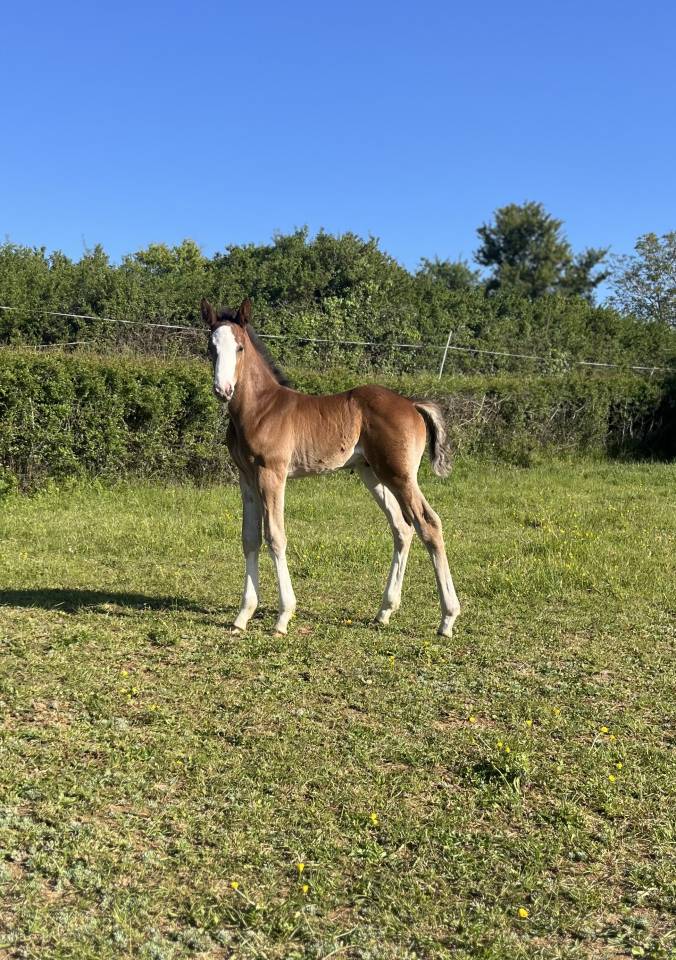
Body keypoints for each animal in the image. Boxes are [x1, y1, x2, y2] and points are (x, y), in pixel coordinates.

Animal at [202, 297, 461, 638]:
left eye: (240, 347)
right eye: (211, 347)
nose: (223, 389)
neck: (259, 408)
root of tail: (411, 404)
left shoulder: (272, 474)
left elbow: (275, 536)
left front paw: (283, 617)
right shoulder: (246, 477)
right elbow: (249, 538)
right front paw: (242, 615)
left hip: (400, 475)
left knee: (428, 523)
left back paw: (447, 618)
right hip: (372, 473)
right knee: (402, 527)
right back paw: (384, 611)